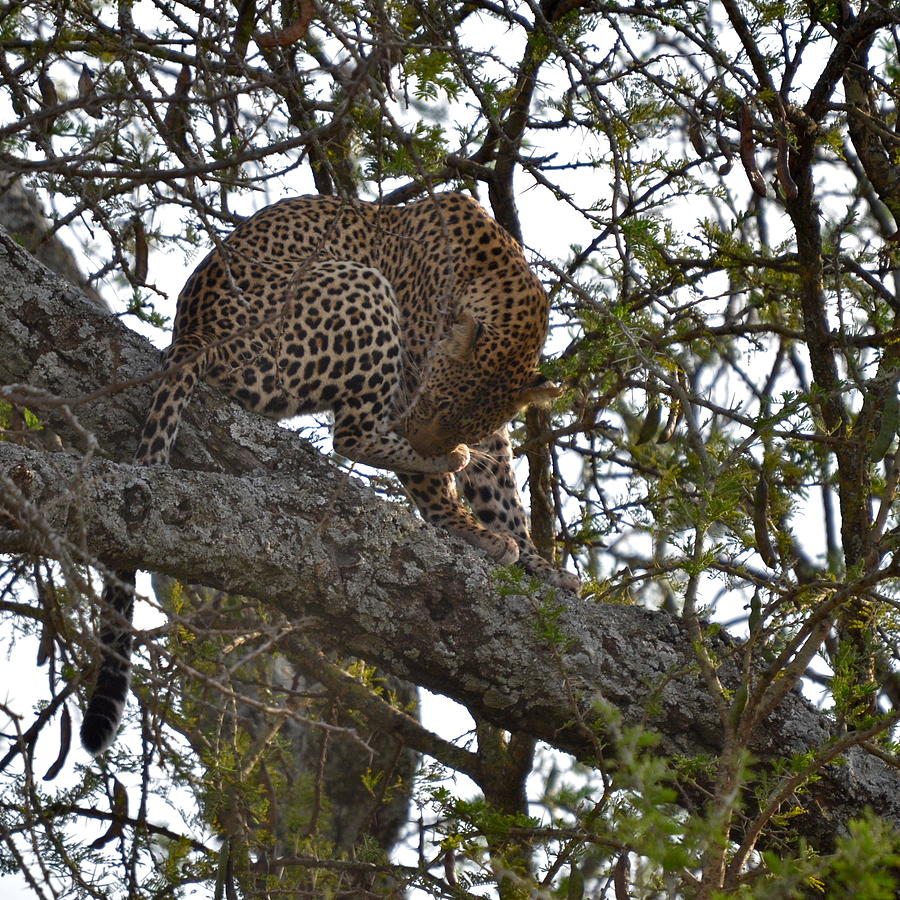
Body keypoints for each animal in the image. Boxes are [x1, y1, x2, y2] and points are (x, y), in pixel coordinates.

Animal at [81, 193, 580, 756]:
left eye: (465, 418)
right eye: (436, 402)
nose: (432, 439)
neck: (502, 284)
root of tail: (194, 336)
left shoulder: (488, 435)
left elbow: (503, 495)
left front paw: (542, 566)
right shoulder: (408, 377)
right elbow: (440, 494)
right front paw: (475, 532)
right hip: (357, 287)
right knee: (353, 437)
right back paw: (448, 466)